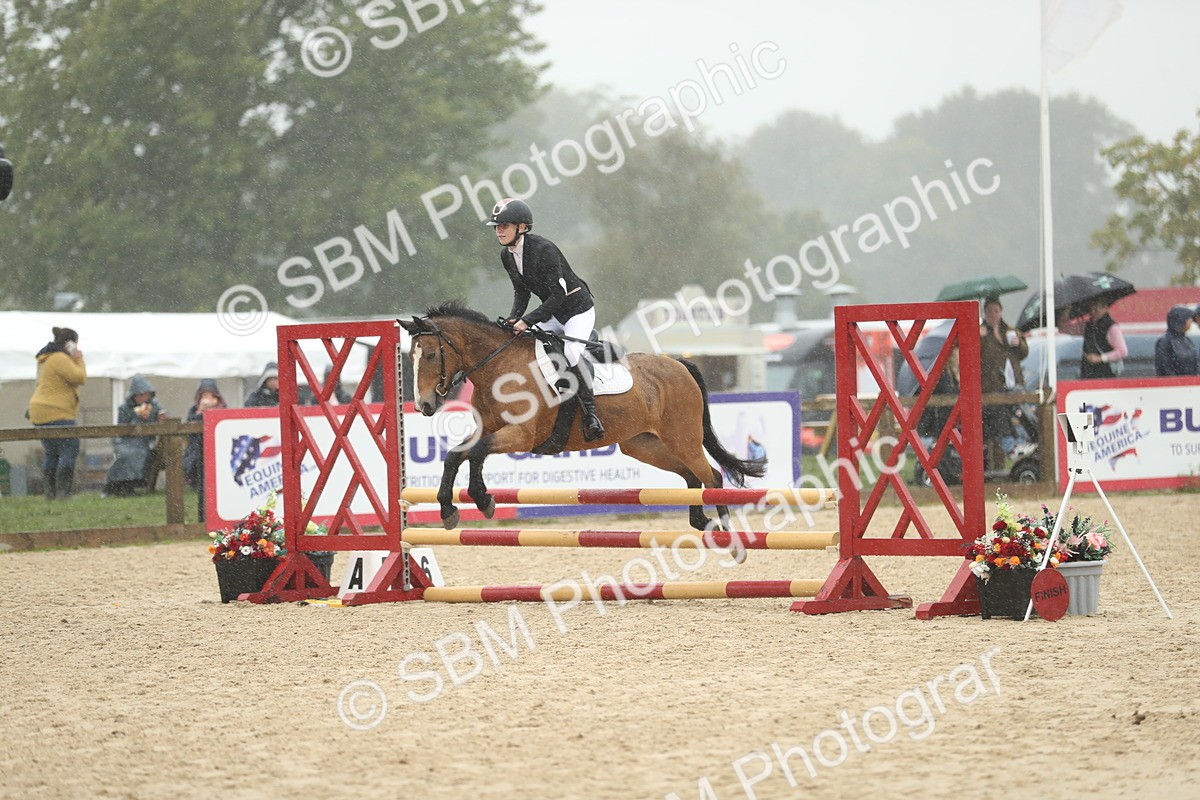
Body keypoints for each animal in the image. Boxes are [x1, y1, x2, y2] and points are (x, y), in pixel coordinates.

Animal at [399, 301, 766, 531]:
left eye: (429, 355)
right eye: (411, 357)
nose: (425, 406)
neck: (499, 368)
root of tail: (678, 364)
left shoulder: (521, 436)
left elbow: (475, 452)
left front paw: (480, 498)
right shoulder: (488, 428)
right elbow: (457, 454)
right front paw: (451, 508)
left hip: (683, 438)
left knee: (712, 477)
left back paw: (726, 532)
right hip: (644, 445)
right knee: (692, 477)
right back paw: (701, 522)